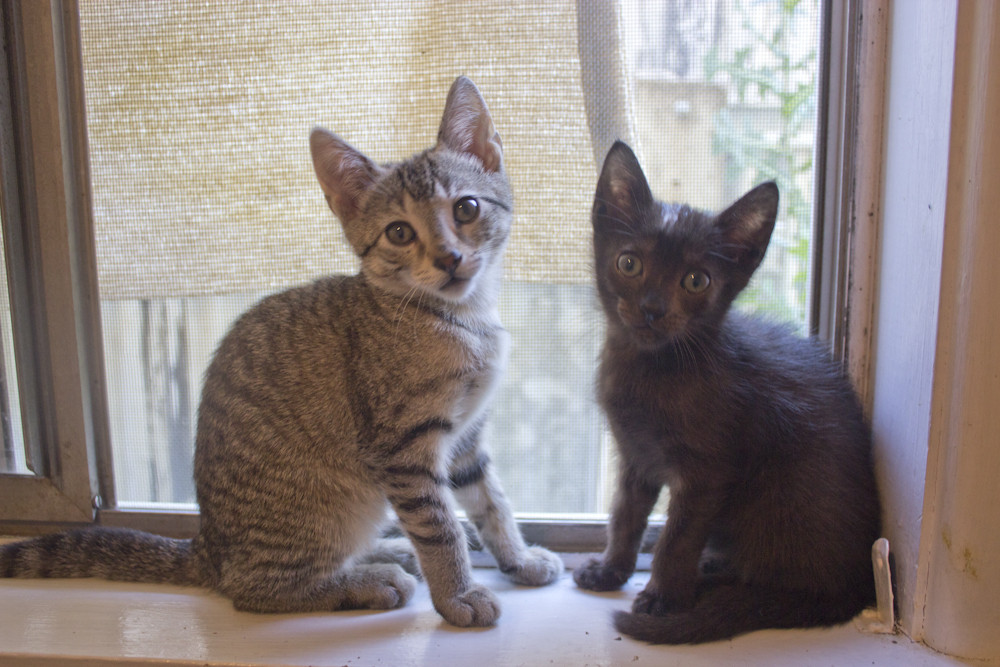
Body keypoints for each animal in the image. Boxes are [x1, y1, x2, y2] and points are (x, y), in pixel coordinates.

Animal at [0, 76, 562, 628]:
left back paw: (387, 554)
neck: (463, 318)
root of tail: (208, 548)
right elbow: (439, 525)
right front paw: (458, 595)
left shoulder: (465, 438)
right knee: (253, 590)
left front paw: (517, 558)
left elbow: (491, 502)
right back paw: (366, 580)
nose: (449, 258)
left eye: (466, 208)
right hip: (330, 507)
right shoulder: (403, 449)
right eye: (399, 232)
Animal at [573, 140, 881, 644]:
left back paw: (708, 586)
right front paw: (611, 570)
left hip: (777, 495)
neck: (653, 369)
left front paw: (662, 599)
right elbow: (625, 516)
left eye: (696, 280)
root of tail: (855, 589)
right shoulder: (635, 456)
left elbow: (678, 538)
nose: (652, 308)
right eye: (629, 263)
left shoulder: (709, 471)